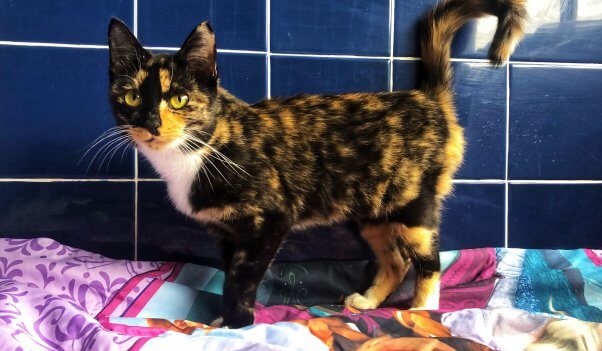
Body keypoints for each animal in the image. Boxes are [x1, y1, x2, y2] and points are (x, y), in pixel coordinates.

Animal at [108, 0, 524, 330]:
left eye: (178, 99)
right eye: (131, 96)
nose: (151, 123)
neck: (203, 147)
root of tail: (427, 98)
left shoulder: (272, 219)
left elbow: (242, 279)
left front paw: (235, 326)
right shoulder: (227, 233)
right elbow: (230, 274)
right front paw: (223, 318)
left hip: (413, 203)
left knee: (426, 259)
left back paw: (422, 310)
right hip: (372, 210)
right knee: (395, 261)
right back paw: (368, 301)